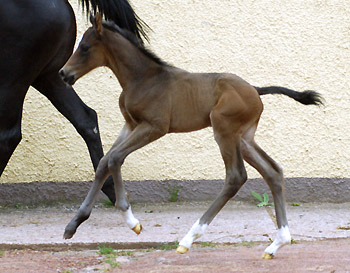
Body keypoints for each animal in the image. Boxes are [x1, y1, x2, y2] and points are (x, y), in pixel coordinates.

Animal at [60, 14, 322, 258]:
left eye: (85, 47)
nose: (63, 73)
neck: (143, 78)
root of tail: (256, 90)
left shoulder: (154, 127)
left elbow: (115, 159)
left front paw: (131, 220)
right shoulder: (131, 125)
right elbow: (105, 161)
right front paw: (73, 224)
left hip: (223, 129)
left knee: (236, 176)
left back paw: (189, 238)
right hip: (244, 138)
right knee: (273, 172)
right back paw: (277, 243)